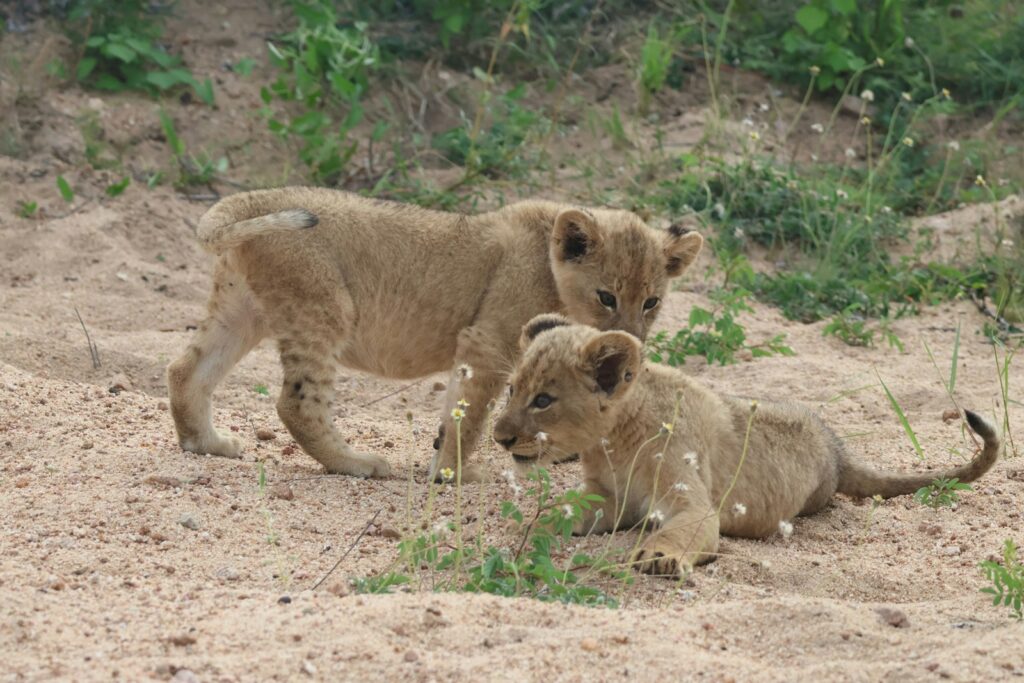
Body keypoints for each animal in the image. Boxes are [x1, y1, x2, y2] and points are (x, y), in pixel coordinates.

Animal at [167, 188, 704, 480]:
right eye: (607, 297)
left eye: (651, 302)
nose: (635, 339)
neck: (550, 267)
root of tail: (257, 197)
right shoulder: (487, 342)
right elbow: (471, 415)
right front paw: (453, 475)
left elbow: (460, 413)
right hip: (324, 307)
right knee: (296, 403)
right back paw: (356, 463)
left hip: (242, 309)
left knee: (185, 369)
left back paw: (206, 443)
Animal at [493, 314, 1002, 577]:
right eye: (512, 389)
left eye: (543, 400)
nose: (499, 437)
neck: (612, 441)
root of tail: (837, 448)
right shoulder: (608, 496)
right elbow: (560, 508)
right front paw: (529, 529)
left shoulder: (693, 502)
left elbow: (679, 530)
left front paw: (658, 557)